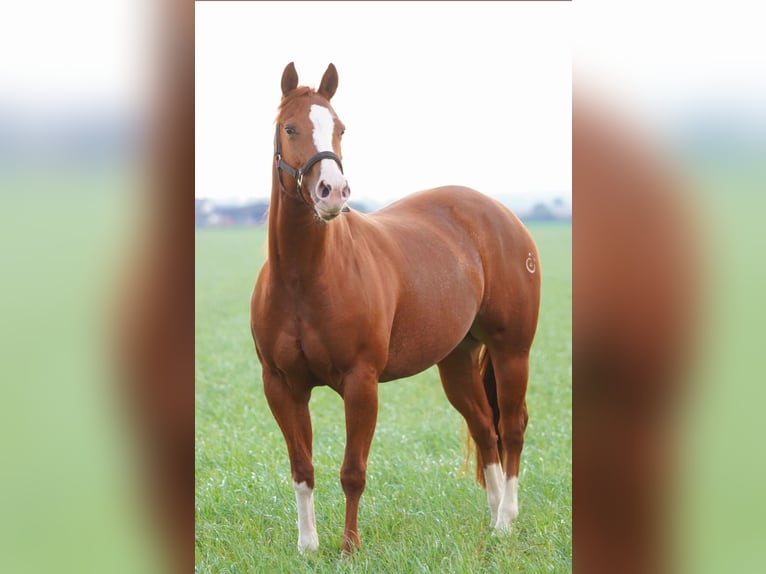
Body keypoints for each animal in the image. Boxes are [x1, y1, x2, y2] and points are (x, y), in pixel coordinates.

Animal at [250, 64, 540, 560]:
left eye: (341, 128)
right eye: (289, 128)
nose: (332, 192)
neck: (304, 279)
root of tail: (502, 214)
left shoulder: (360, 383)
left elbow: (353, 471)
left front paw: (349, 548)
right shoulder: (281, 386)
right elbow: (302, 468)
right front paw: (308, 546)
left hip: (511, 352)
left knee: (513, 427)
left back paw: (506, 522)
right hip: (457, 362)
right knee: (485, 428)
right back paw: (492, 516)